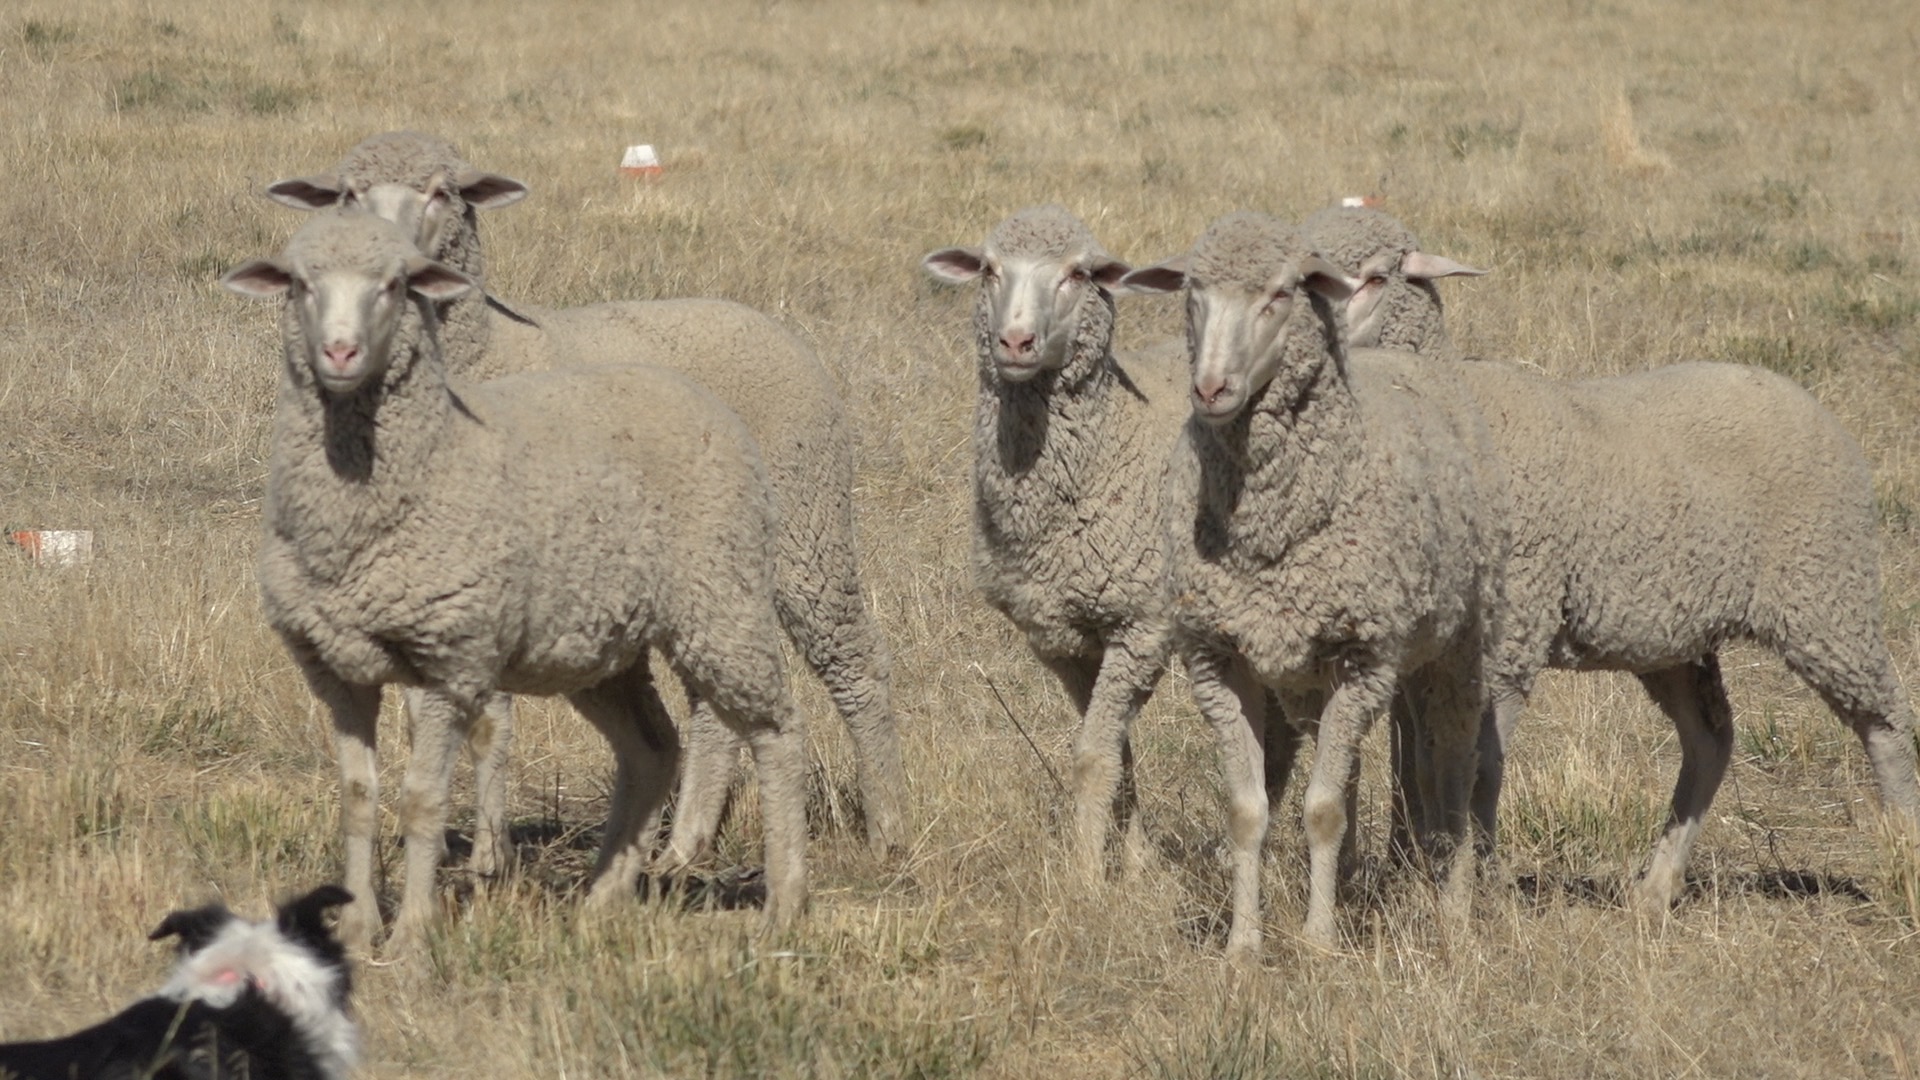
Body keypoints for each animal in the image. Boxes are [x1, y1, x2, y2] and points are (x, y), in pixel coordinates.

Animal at [219, 211, 809, 949]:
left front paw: (411, 935)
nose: (341, 353)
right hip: (599, 643)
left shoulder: (448, 658)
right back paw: (601, 899)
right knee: (651, 748)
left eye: (395, 284)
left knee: (778, 732)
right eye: (300, 283)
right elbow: (357, 799)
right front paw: (354, 929)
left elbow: (422, 800)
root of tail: (700, 397)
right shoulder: (335, 668)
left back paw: (784, 900)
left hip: (721, 602)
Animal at [266, 131, 906, 870]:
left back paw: (886, 826)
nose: (393, 248)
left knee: (854, 657)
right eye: (346, 194)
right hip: (704, 565)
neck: (484, 353)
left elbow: (490, 718)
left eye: (442, 192)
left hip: (808, 520)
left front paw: (489, 856)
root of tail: (771, 327)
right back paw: (684, 843)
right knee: (711, 701)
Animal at [918, 205, 1194, 879]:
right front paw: (1135, 865)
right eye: (989, 269)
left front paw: (1086, 876)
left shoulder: (1141, 625)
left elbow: (1094, 754)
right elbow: (1117, 753)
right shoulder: (1061, 638)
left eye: (1078, 273)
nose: (1016, 342)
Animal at [1121, 211, 1508, 957]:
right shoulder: (1219, 657)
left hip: (1453, 647)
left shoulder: (1362, 655)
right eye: (1192, 292)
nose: (1210, 389)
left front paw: (1320, 942)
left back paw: (1453, 907)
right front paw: (1244, 947)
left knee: (1453, 759)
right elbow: (1247, 811)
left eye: (1280, 293)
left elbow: (1323, 810)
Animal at [1301, 205, 1920, 910]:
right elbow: (1418, 760)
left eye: (1376, 277)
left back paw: (1904, 850)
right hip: (1676, 633)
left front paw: (1471, 875)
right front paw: (1415, 864)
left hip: (1825, 595)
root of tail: (1812, 403)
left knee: (1885, 720)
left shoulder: (1508, 635)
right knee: (1711, 737)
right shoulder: (1425, 648)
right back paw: (1656, 886)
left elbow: (1478, 764)